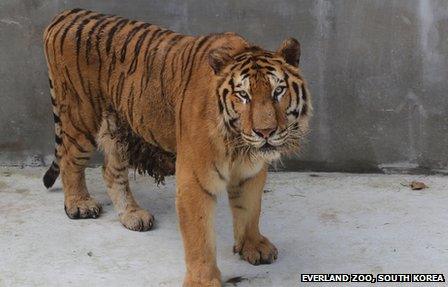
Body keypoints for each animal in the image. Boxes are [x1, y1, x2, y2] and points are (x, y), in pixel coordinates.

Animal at [42, 7, 312, 286]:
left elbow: (250, 211)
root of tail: (66, 13)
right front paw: (203, 281)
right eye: (243, 95)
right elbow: (199, 237)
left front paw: (253, 247)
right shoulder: (195, 180)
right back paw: (79, 204)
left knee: (110, 171)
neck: (238, 144)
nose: (265, 132)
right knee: (70, 160)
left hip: (118, 125)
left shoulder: (251, 172)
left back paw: (132, 215)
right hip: (80, 116)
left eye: (278, 91)